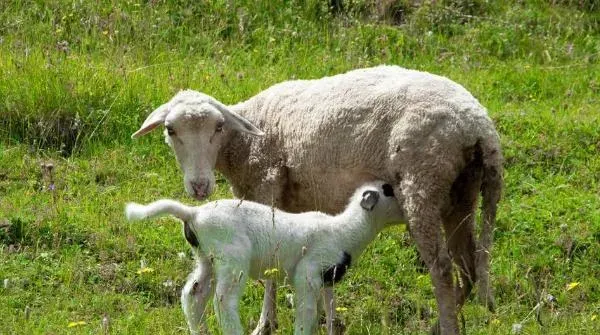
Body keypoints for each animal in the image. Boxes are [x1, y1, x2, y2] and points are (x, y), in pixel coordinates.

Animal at [127, 182, 408, 334]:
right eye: (390, 190)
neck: (347, 230)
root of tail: (193, 214)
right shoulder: (308, 273)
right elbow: (306, 312)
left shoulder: (327, 278)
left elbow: (325, 311)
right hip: (233, 257)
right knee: (223, 301)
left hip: (207, 258)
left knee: (193, 295)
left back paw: (199, 330)